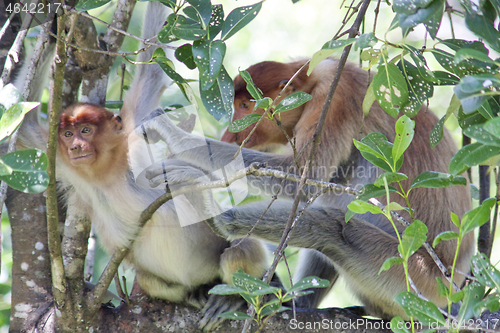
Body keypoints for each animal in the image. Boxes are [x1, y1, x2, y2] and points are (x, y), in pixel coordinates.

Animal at [140, 58, 472, 318]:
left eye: (246, 106)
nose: (230, 134)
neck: (312, 83)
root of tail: (453, 287)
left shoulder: (337, 96)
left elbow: (303, 174)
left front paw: (175, 140)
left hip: (411, 275)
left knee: (333, 226)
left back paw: (214, 214)